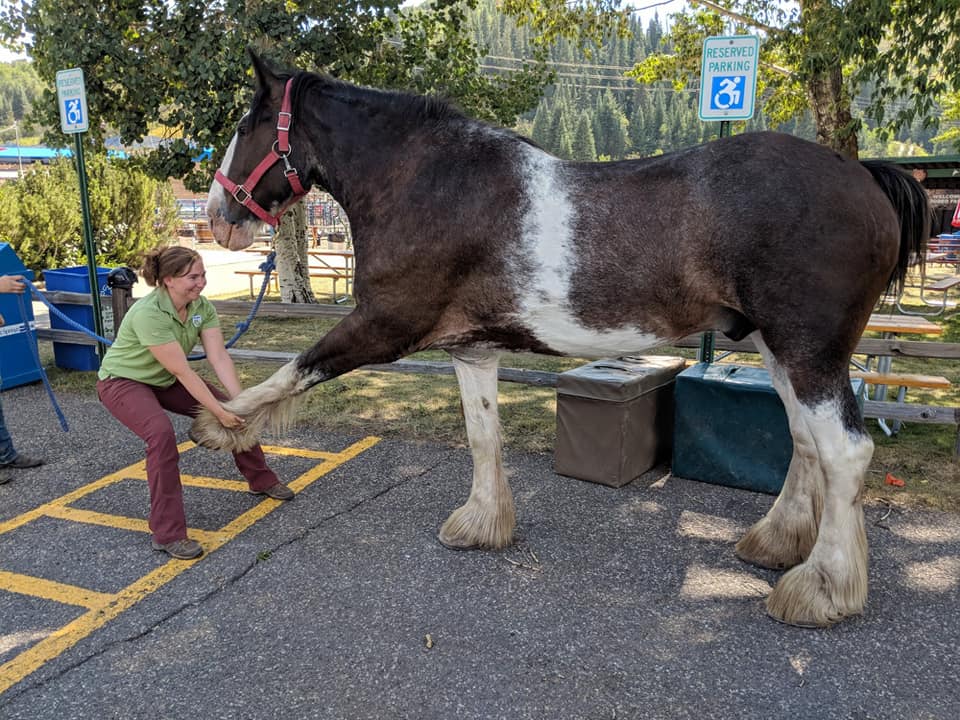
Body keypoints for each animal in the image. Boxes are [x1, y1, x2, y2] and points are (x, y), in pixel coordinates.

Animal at [197, 52, 928, 624]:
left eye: (245, 124)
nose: (218, 215)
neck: (429, 183)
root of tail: (864, 176)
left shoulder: (384, 323)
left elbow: (296, 368)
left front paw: (221, 424)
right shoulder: (471, 348)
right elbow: (482, 436)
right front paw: (482, 524)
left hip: (810, 352)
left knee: (845, 453)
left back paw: (821, 589)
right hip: (783, 351)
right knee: (806, 443)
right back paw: (776, 543)